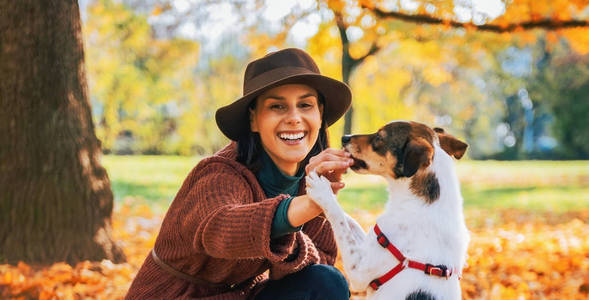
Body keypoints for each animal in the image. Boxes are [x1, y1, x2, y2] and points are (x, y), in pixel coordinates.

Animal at [308, 121, 468, 300]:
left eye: (379, 137)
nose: (344, 137)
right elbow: (349, 221)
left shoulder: (358, 272)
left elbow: (338, 217)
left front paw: (322, 191)